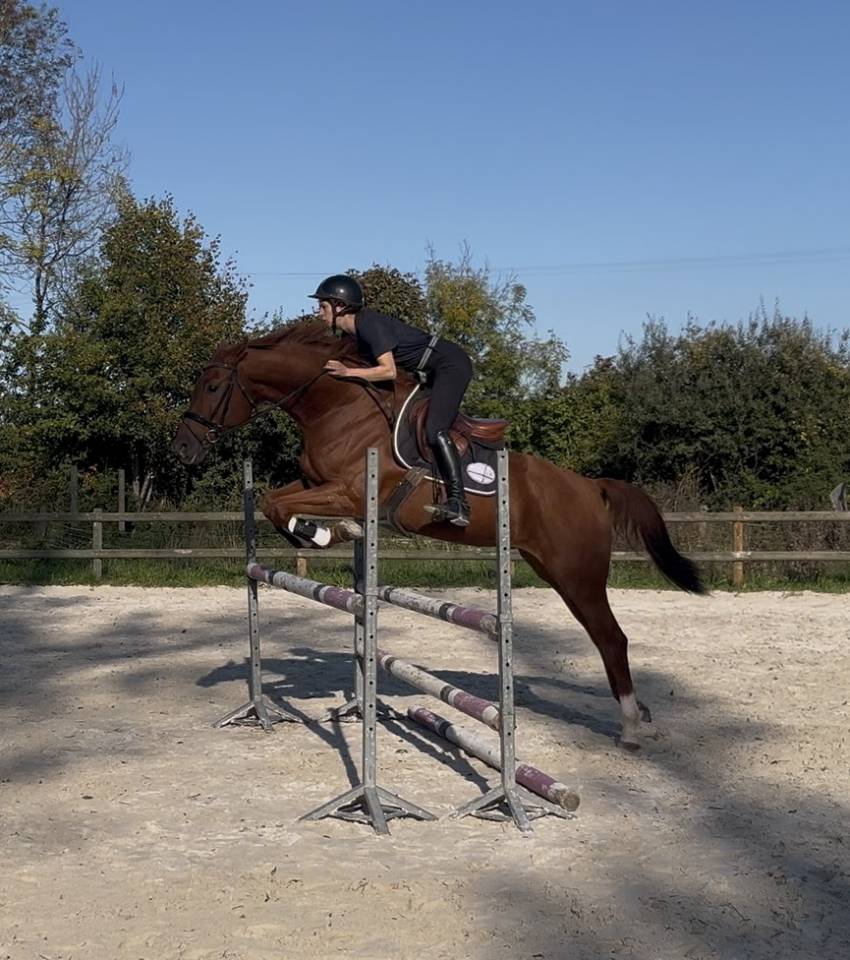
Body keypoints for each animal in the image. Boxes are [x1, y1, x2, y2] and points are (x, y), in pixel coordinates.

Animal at [172, 320, 705, 749]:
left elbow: (282, 507)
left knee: (611, 638)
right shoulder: (313, 483)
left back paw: (632, 724)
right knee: (606, 637)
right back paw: (641, 715)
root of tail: (592, 486)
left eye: (213, 385)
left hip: (577, 575)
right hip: (553, 568)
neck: (338, 407)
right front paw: (326, 533)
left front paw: (322, 534)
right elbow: (271, 500)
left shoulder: (348, 490)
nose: (185, 449)